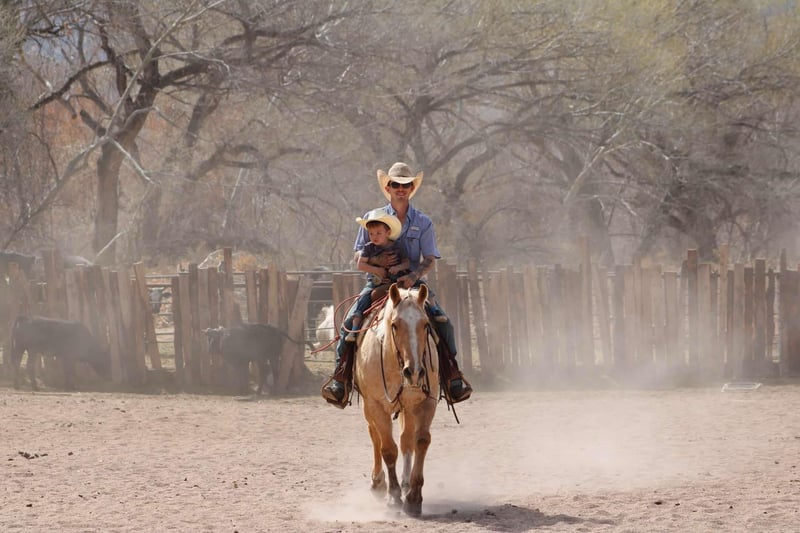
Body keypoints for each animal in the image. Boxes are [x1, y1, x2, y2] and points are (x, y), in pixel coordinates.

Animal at [353, 283, 439, 517]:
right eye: (395, 324)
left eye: (425, 324)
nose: (415, 372)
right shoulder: (375, 405)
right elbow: (388, 449)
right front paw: (393, 496)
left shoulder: (427, 402)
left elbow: (420, 441)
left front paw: (413, 497)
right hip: (369, 409)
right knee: (375, 437)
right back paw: (378, 483)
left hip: (408, 408)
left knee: (406, 440)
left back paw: (406, 483)